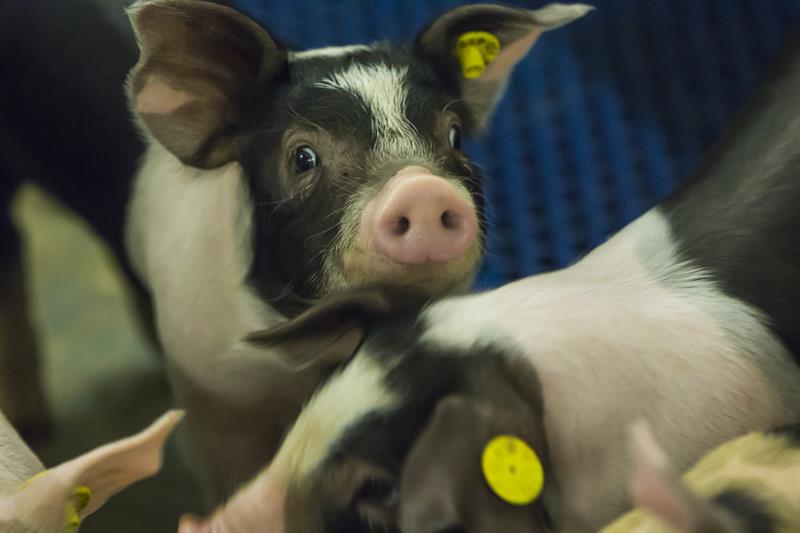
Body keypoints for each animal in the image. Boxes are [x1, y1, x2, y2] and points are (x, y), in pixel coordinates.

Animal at [0, 0, 590, 502]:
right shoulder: (213, 401)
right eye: (303, 156)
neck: (304, 367)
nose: (421, 189)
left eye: (454, 137)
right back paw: (34, 424)